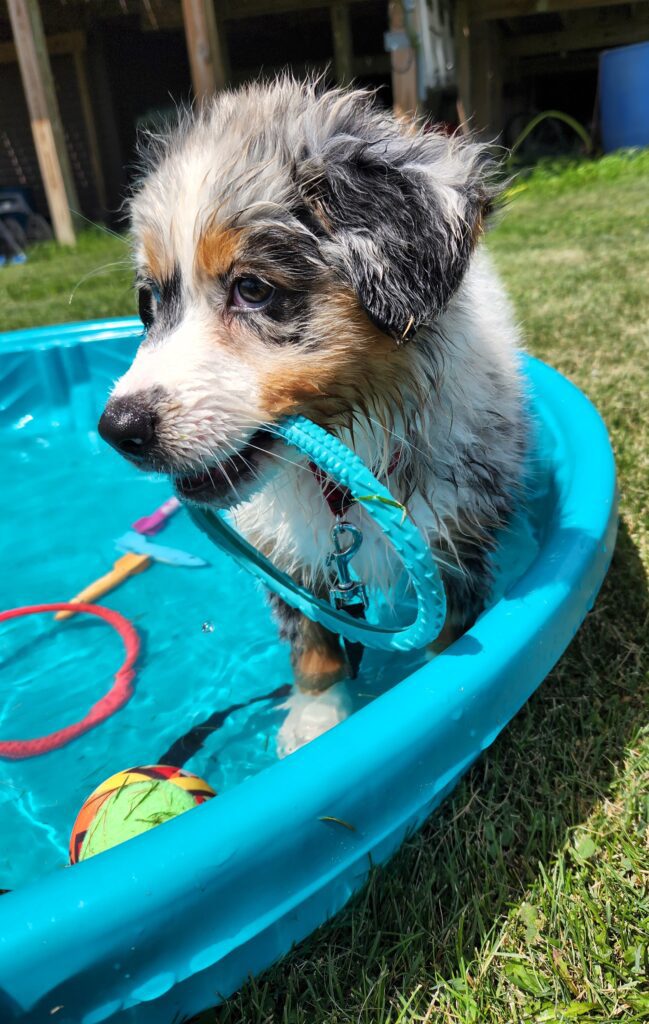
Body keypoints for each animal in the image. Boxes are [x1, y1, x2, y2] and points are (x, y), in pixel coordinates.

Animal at [101, 75, 524, 745]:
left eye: (253, 289)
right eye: (149, 302)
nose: (118, 428)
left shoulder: (456, 536)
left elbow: (448, 641)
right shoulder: (286, 556)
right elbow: (312, 636)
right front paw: (316, 717)